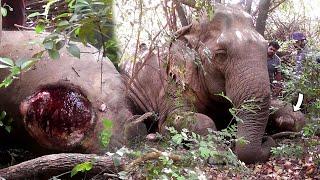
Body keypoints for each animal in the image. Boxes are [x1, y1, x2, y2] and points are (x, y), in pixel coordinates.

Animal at [120, 5, 304, 163]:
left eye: (267, 49)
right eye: (221, 55)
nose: (267, 138)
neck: (190, 29)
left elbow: (295, 116)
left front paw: (288, 119)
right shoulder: (172, 83)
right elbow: (174, 120)